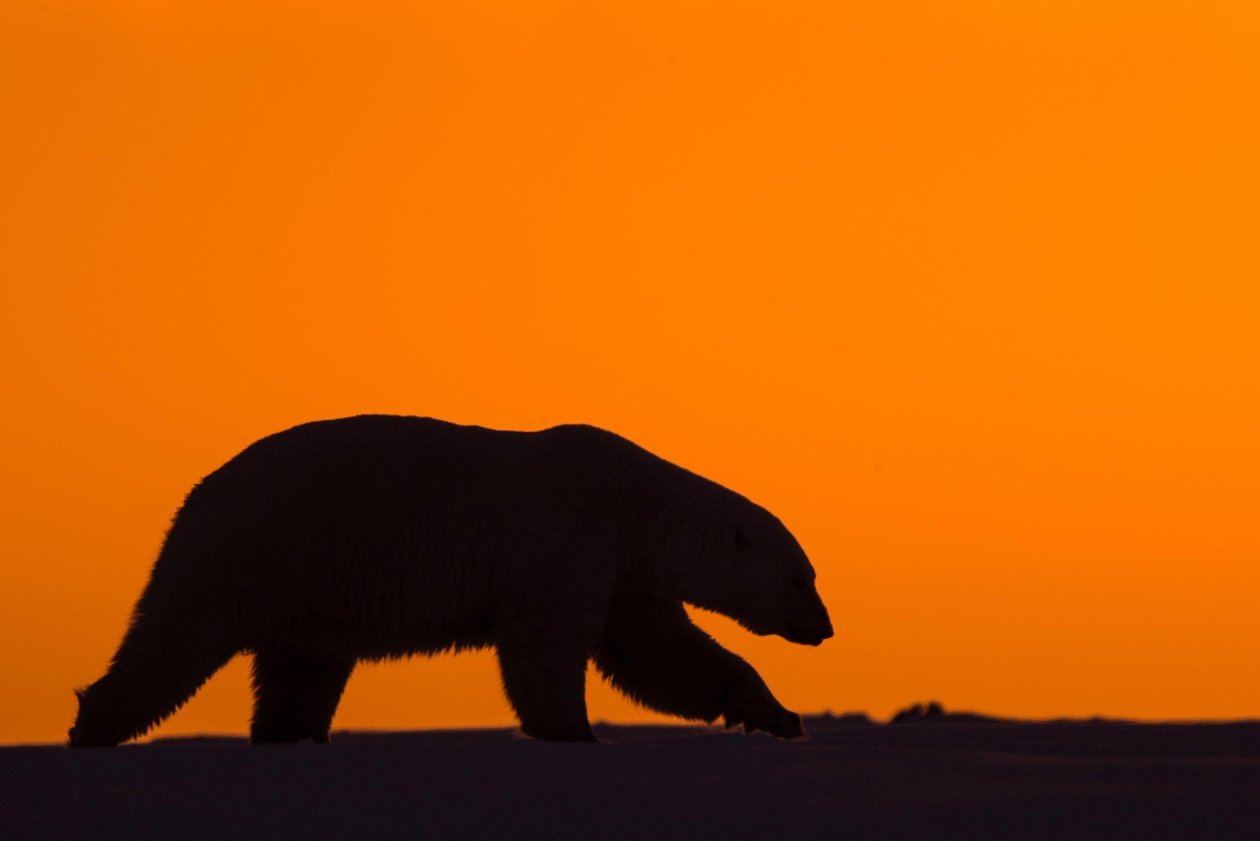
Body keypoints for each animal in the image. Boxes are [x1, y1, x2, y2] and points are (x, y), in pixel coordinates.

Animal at [69, 415, 833, 746]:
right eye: (801, 578)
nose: (825, 629)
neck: (632, 501)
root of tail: (198, 492)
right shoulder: (566, 536)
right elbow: (544, 644)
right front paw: (573, 732)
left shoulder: (619, 571)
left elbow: (664, 654)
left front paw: (775, 714)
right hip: (256, 550)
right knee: (174, 640)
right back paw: (92, 725)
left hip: (311, 590)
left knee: (302, 668)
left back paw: (293, 736)